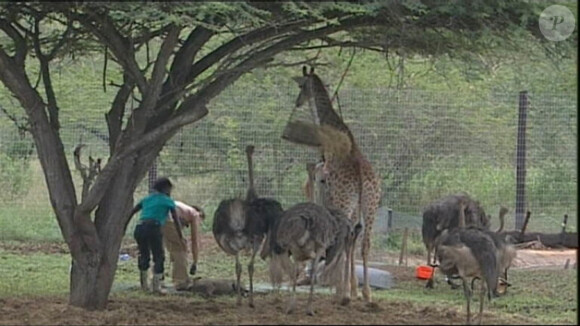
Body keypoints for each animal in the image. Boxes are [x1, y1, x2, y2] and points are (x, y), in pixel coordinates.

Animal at [288, 66, 380, 304]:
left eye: (301, 85)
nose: (298, 102)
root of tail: (361, 177)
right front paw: (353, 288)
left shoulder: (323, 172)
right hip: (371, 205)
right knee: (364, 242)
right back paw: (365, 293)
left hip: (345, 201)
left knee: (345, 235)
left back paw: (343, 292)